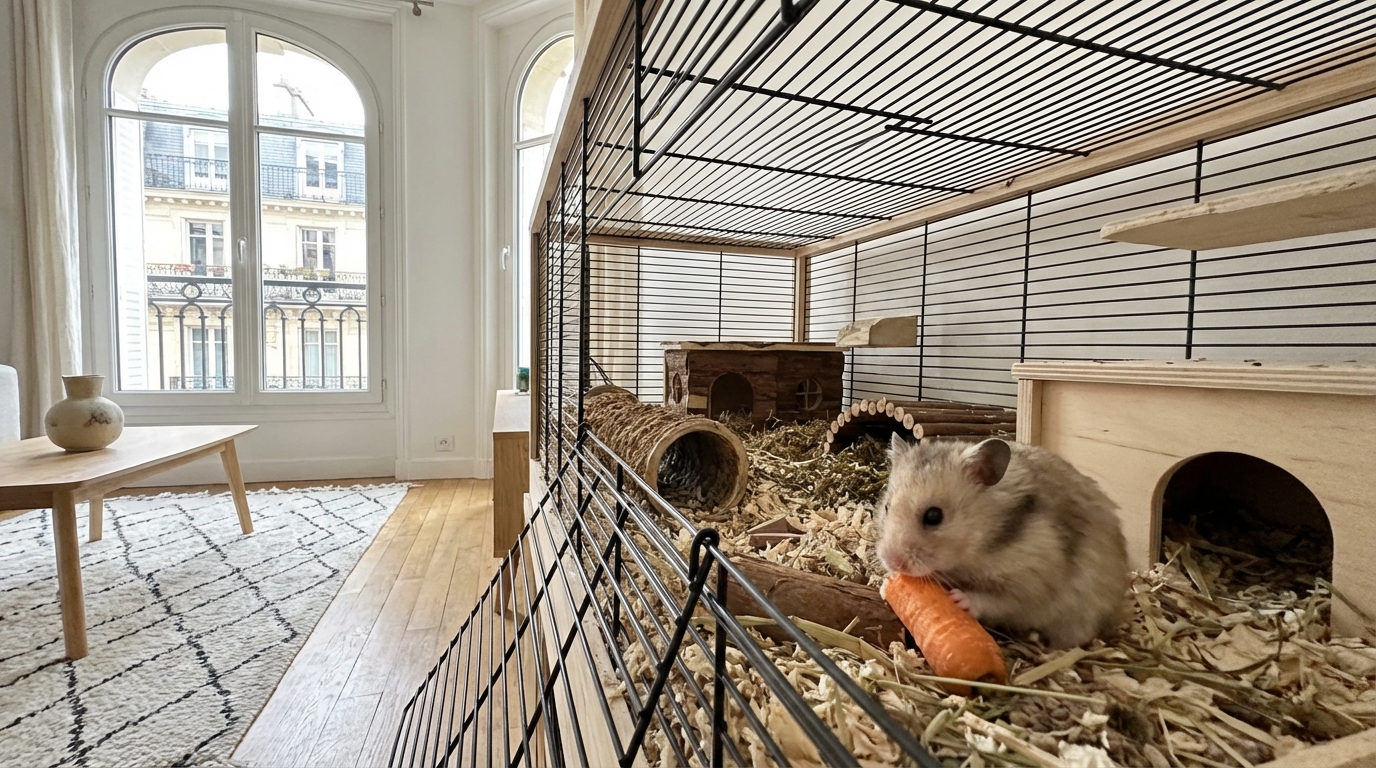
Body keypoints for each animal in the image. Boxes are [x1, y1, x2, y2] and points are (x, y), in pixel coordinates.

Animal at [875, 435, 1129, 648]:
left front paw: (958, 599)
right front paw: (885, 583)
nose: (892, 562)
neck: (981, 547)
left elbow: (999, 600)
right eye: (886, 507)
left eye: (934, 516)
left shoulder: (1032, 582)